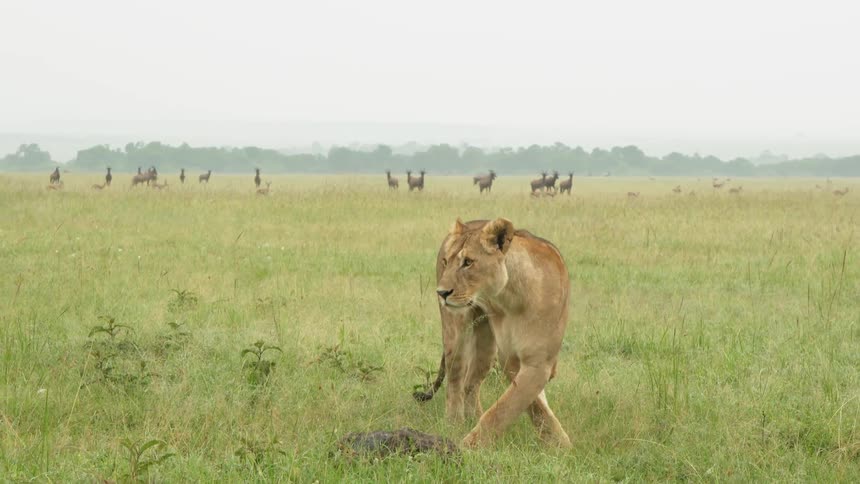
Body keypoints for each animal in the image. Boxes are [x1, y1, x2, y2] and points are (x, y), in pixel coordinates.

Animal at [424, 217, 571, 448]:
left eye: (468, 262)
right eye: (447, 262)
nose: (441, 292)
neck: (511, 297)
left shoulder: (538, 362)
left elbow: (518, 405)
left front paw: (559, 443)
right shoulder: (511, 360)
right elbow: (507, 408)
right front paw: (467, 448)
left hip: (486, 347)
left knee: (471, 383)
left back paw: (471, 418)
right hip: (456, 333)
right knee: (455, 380)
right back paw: (453, 424)